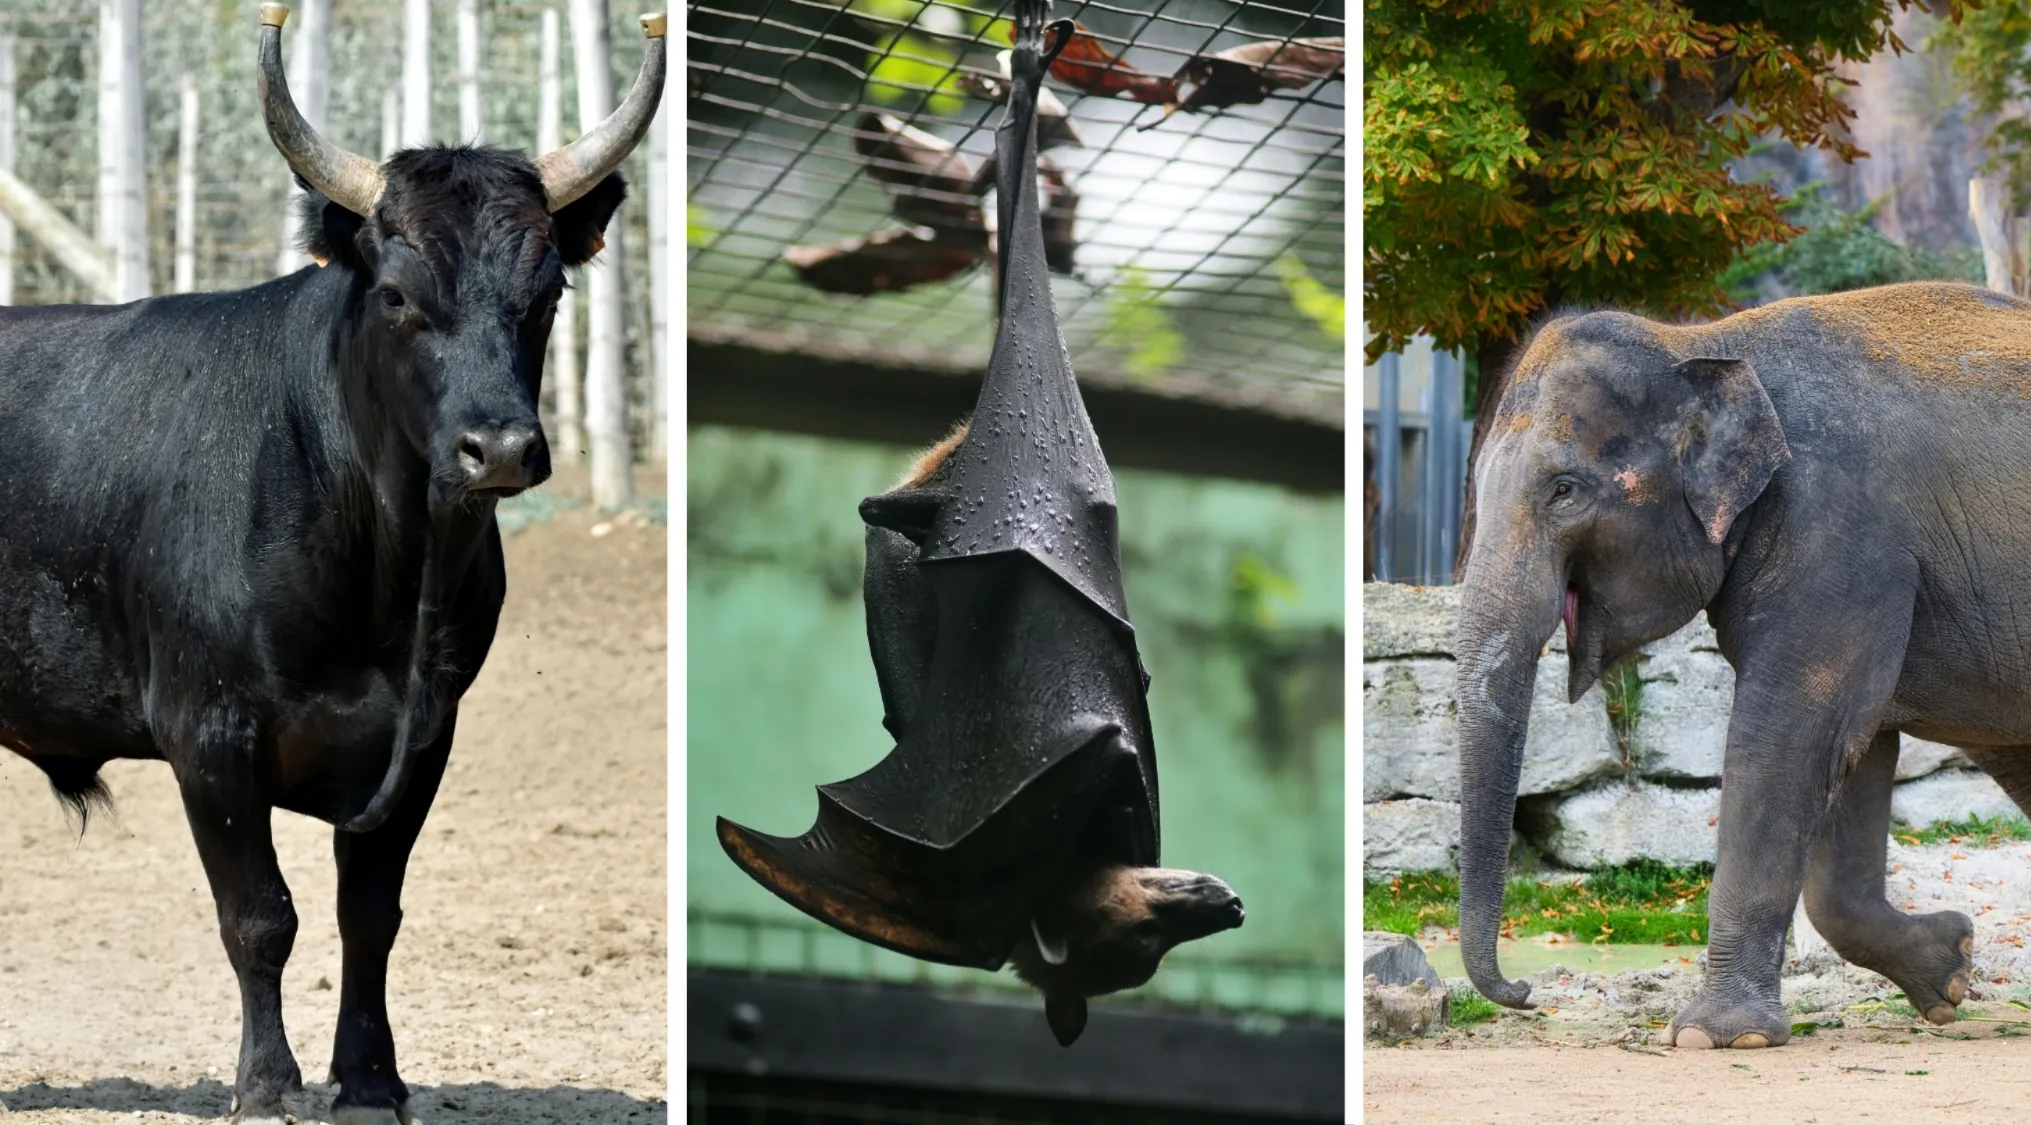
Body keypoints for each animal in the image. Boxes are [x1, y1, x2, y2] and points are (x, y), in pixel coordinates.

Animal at [0, 5, 664, 1122]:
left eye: (546, 293)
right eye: (396, 295)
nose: (498, 448)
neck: (382, 583)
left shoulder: (424, 734)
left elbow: (371, 913)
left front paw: (369, 1079)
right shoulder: (208, 733)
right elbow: (262, 916)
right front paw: (267, 1083)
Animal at [1454, 280, 2031, 1049]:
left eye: (1563, 490)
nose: (1523, 992)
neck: (1706, 343)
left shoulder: (1838, 531)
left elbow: (1788, 735)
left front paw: (1714, 1036)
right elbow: (1854, 749)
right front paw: (1950, 973)